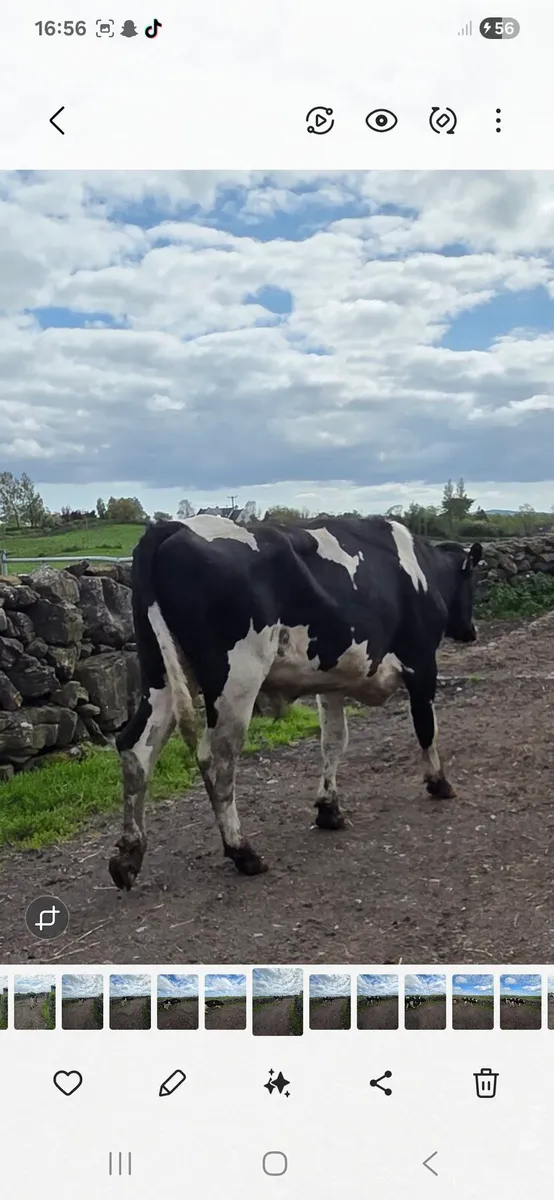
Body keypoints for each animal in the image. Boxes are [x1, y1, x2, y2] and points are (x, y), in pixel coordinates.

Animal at [108, 514, 482, 890]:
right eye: (470, 581)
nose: (471, 631)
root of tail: (173, 526)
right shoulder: (422, 663)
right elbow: (426, 727)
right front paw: (439, 783)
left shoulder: (333, 681)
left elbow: (333, 741)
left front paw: (329, 809)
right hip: (237, 679)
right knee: (218, 758)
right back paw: (242, 851)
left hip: (161, 672)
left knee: (135, 746)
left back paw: (129, 855)